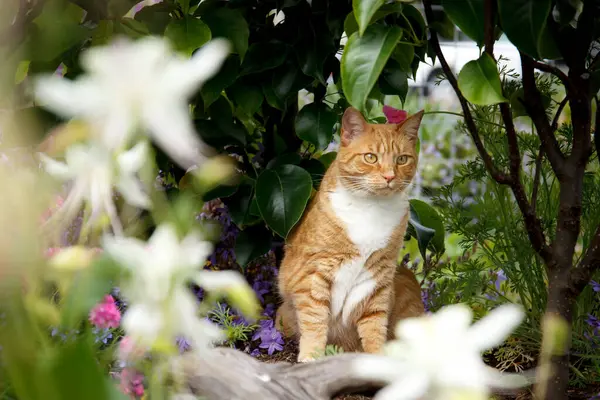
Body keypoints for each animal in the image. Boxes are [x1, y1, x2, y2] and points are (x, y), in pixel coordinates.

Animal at [274, 107, 424, 362]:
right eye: (371, 157)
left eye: (401, 159)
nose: (389, 177)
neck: (372, 208)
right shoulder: (315, 272)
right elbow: (315, 320)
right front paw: (311, 357)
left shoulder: (378, 274)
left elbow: (375, 323)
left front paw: (377, 358)